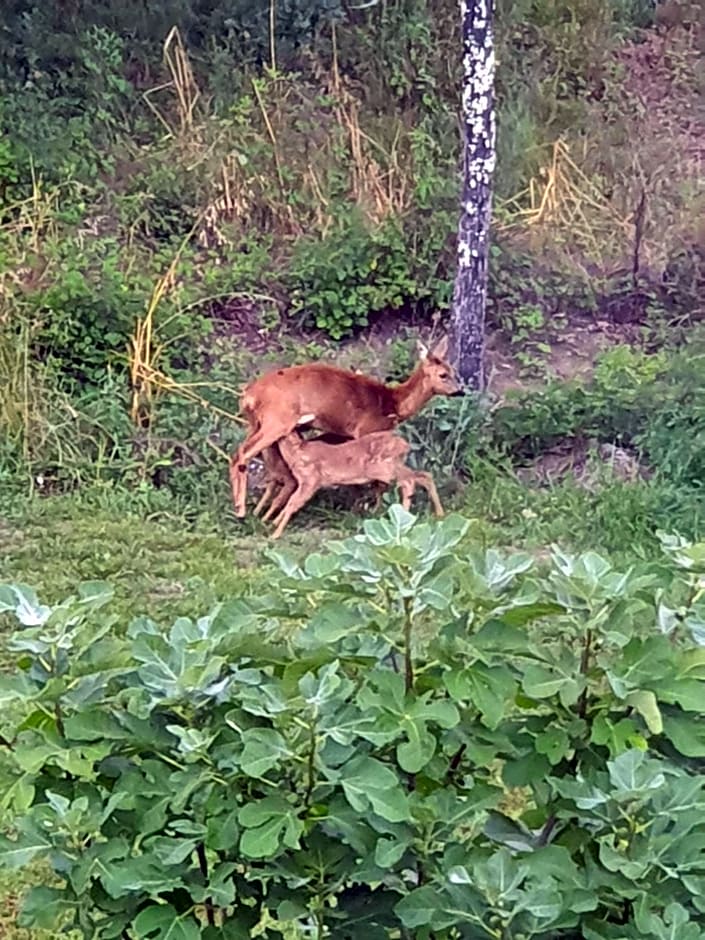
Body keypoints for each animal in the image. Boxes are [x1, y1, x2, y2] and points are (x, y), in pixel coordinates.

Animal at [231, 336, 462, 516]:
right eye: (443, 375)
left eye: (453, 370)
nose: (460, 391)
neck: (392, 403)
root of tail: (249, 395)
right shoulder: (367, 430)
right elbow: (376, 480)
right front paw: (372, 508)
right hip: (275, 422)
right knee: (241, 454)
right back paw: (240, 508)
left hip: (257, 423)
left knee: (264, 463)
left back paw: (257, 511)